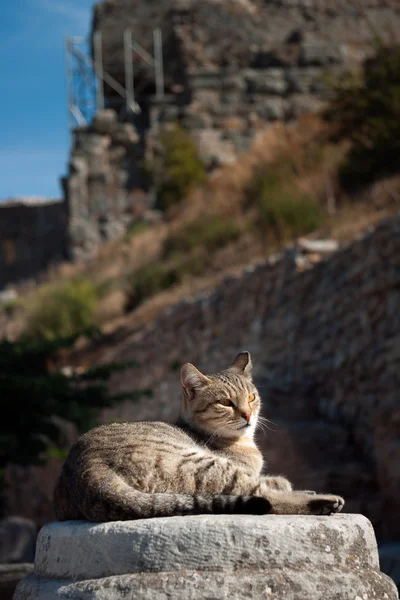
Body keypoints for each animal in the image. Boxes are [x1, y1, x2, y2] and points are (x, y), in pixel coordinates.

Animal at [54, 352, 346, 520]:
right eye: (225, 403)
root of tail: (85, 470)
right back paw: (323, 501)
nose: (248, 415)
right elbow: (263, 484)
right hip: (203, 465)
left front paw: (283, 481)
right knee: (265, 499)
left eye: (252, 397)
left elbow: (269, 479)